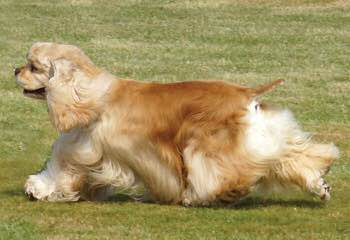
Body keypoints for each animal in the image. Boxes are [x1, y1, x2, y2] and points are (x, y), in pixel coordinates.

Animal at [14, 42, 340, 205]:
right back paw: (319, 184)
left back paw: (202, 197)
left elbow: (62, 170)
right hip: (261, 138)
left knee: (226, 175)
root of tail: (246, 93)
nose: (15, 70)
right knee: (296, 154)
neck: (92, 96)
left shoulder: (86, 150)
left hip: (215, 147)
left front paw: (38, 189)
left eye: (34, 66)